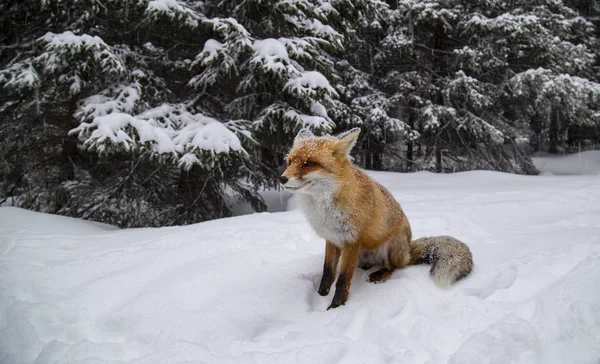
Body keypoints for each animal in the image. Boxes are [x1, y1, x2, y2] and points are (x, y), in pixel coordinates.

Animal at [282, 128, 474, 310]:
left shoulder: (352, 241)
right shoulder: (332, 239)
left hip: (391, 246)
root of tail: (408, 250)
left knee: (395, 267)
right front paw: (321, 296)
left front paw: (336, 307)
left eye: (309, 163)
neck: (325, 208)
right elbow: (328, 273)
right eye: (289, 162)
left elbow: (343, 279)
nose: (282, 178)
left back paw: (380, 274)